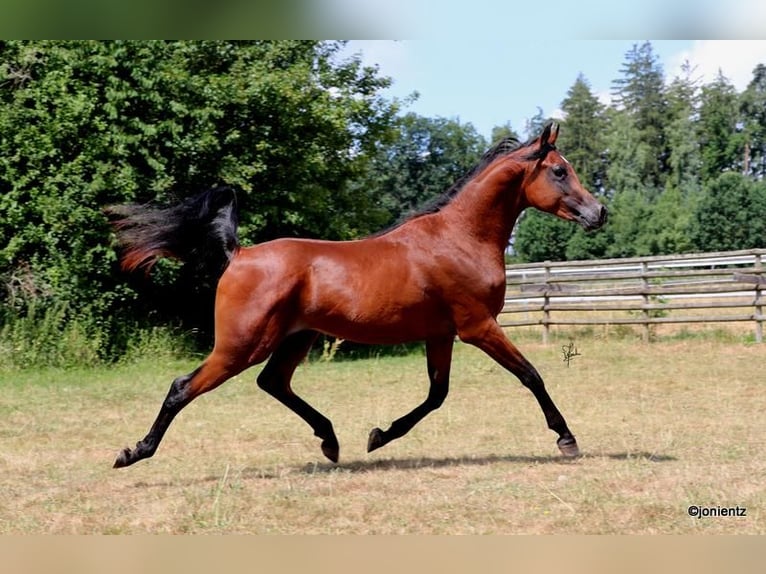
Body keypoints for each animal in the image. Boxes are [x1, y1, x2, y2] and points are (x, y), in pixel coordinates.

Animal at [108, 123, 607, 468]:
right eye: (559, 170)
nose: (600, 213)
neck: (460, 237)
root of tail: (239, 254)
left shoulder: (441, 334)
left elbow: (436, 395)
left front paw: (379, 435)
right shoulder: (478, 326)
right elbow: (531, 376)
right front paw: (566, 439)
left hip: (295, 338)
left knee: (274, 383)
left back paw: (330, 441)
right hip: (241, 346)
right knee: (183, 387)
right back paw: (133, 452)